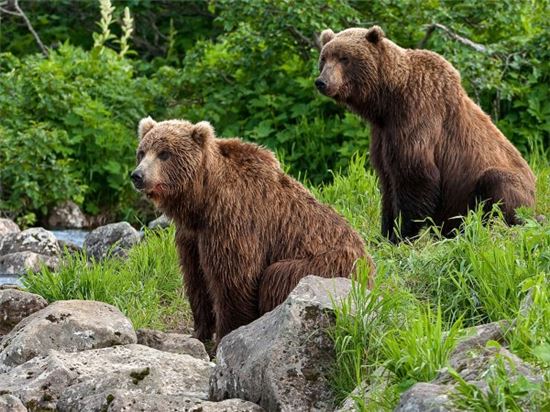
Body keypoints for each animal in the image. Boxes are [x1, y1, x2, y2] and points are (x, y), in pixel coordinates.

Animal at [133, 116, 374, 344]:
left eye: (164, 154)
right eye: (142, 152)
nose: (138, 175)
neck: (201, 200)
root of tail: (370, 267)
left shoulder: (234, 221)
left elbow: (234, 280)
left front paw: (225, 336)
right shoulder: (191, 236)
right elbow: (195, 278)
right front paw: (198, 332)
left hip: (328, 267)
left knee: (276, 277)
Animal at [316, 25, 536, 243]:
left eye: (344, 58)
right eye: (324, 58)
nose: (322, 82)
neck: (387, 102)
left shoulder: (417, 116)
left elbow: (415, 176)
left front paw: (400, 235)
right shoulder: (383, 134)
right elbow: (387, 182)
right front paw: (384, 233)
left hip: (503, 184)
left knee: (498, 185)